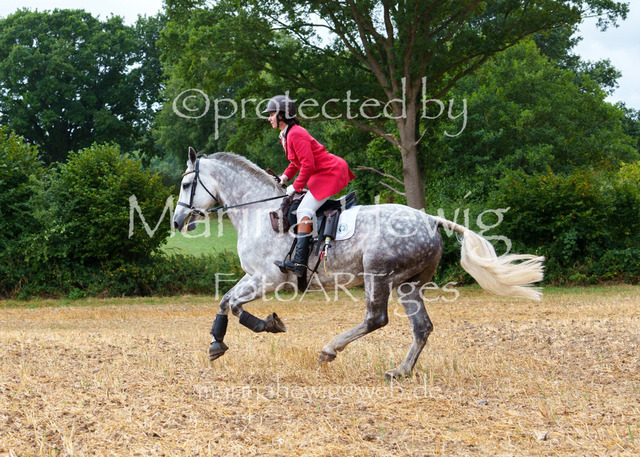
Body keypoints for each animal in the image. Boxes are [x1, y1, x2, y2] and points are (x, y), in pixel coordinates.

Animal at [172, 147, 545, 379]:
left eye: (187, 183)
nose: (177, 221)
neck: (257, 210)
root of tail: (430, 219)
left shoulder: (267, 278)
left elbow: (235, 304)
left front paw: (268, 325)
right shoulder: (252, 276)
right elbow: (225, 300)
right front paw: (217, 344)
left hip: (377, 275)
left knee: (376, 318)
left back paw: (330, 350)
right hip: (408, 285)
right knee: (421, 327)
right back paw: (401, 371)